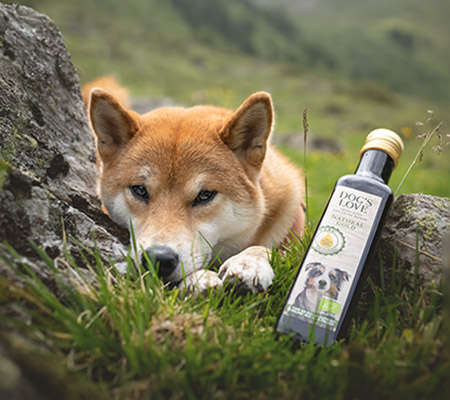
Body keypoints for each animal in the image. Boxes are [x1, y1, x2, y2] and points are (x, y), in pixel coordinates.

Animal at [83, 78, 306, 296]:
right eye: (139, 190)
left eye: (205, 195)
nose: (159, 259)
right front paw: (199, 279)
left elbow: (267, 249)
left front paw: (249, 262)